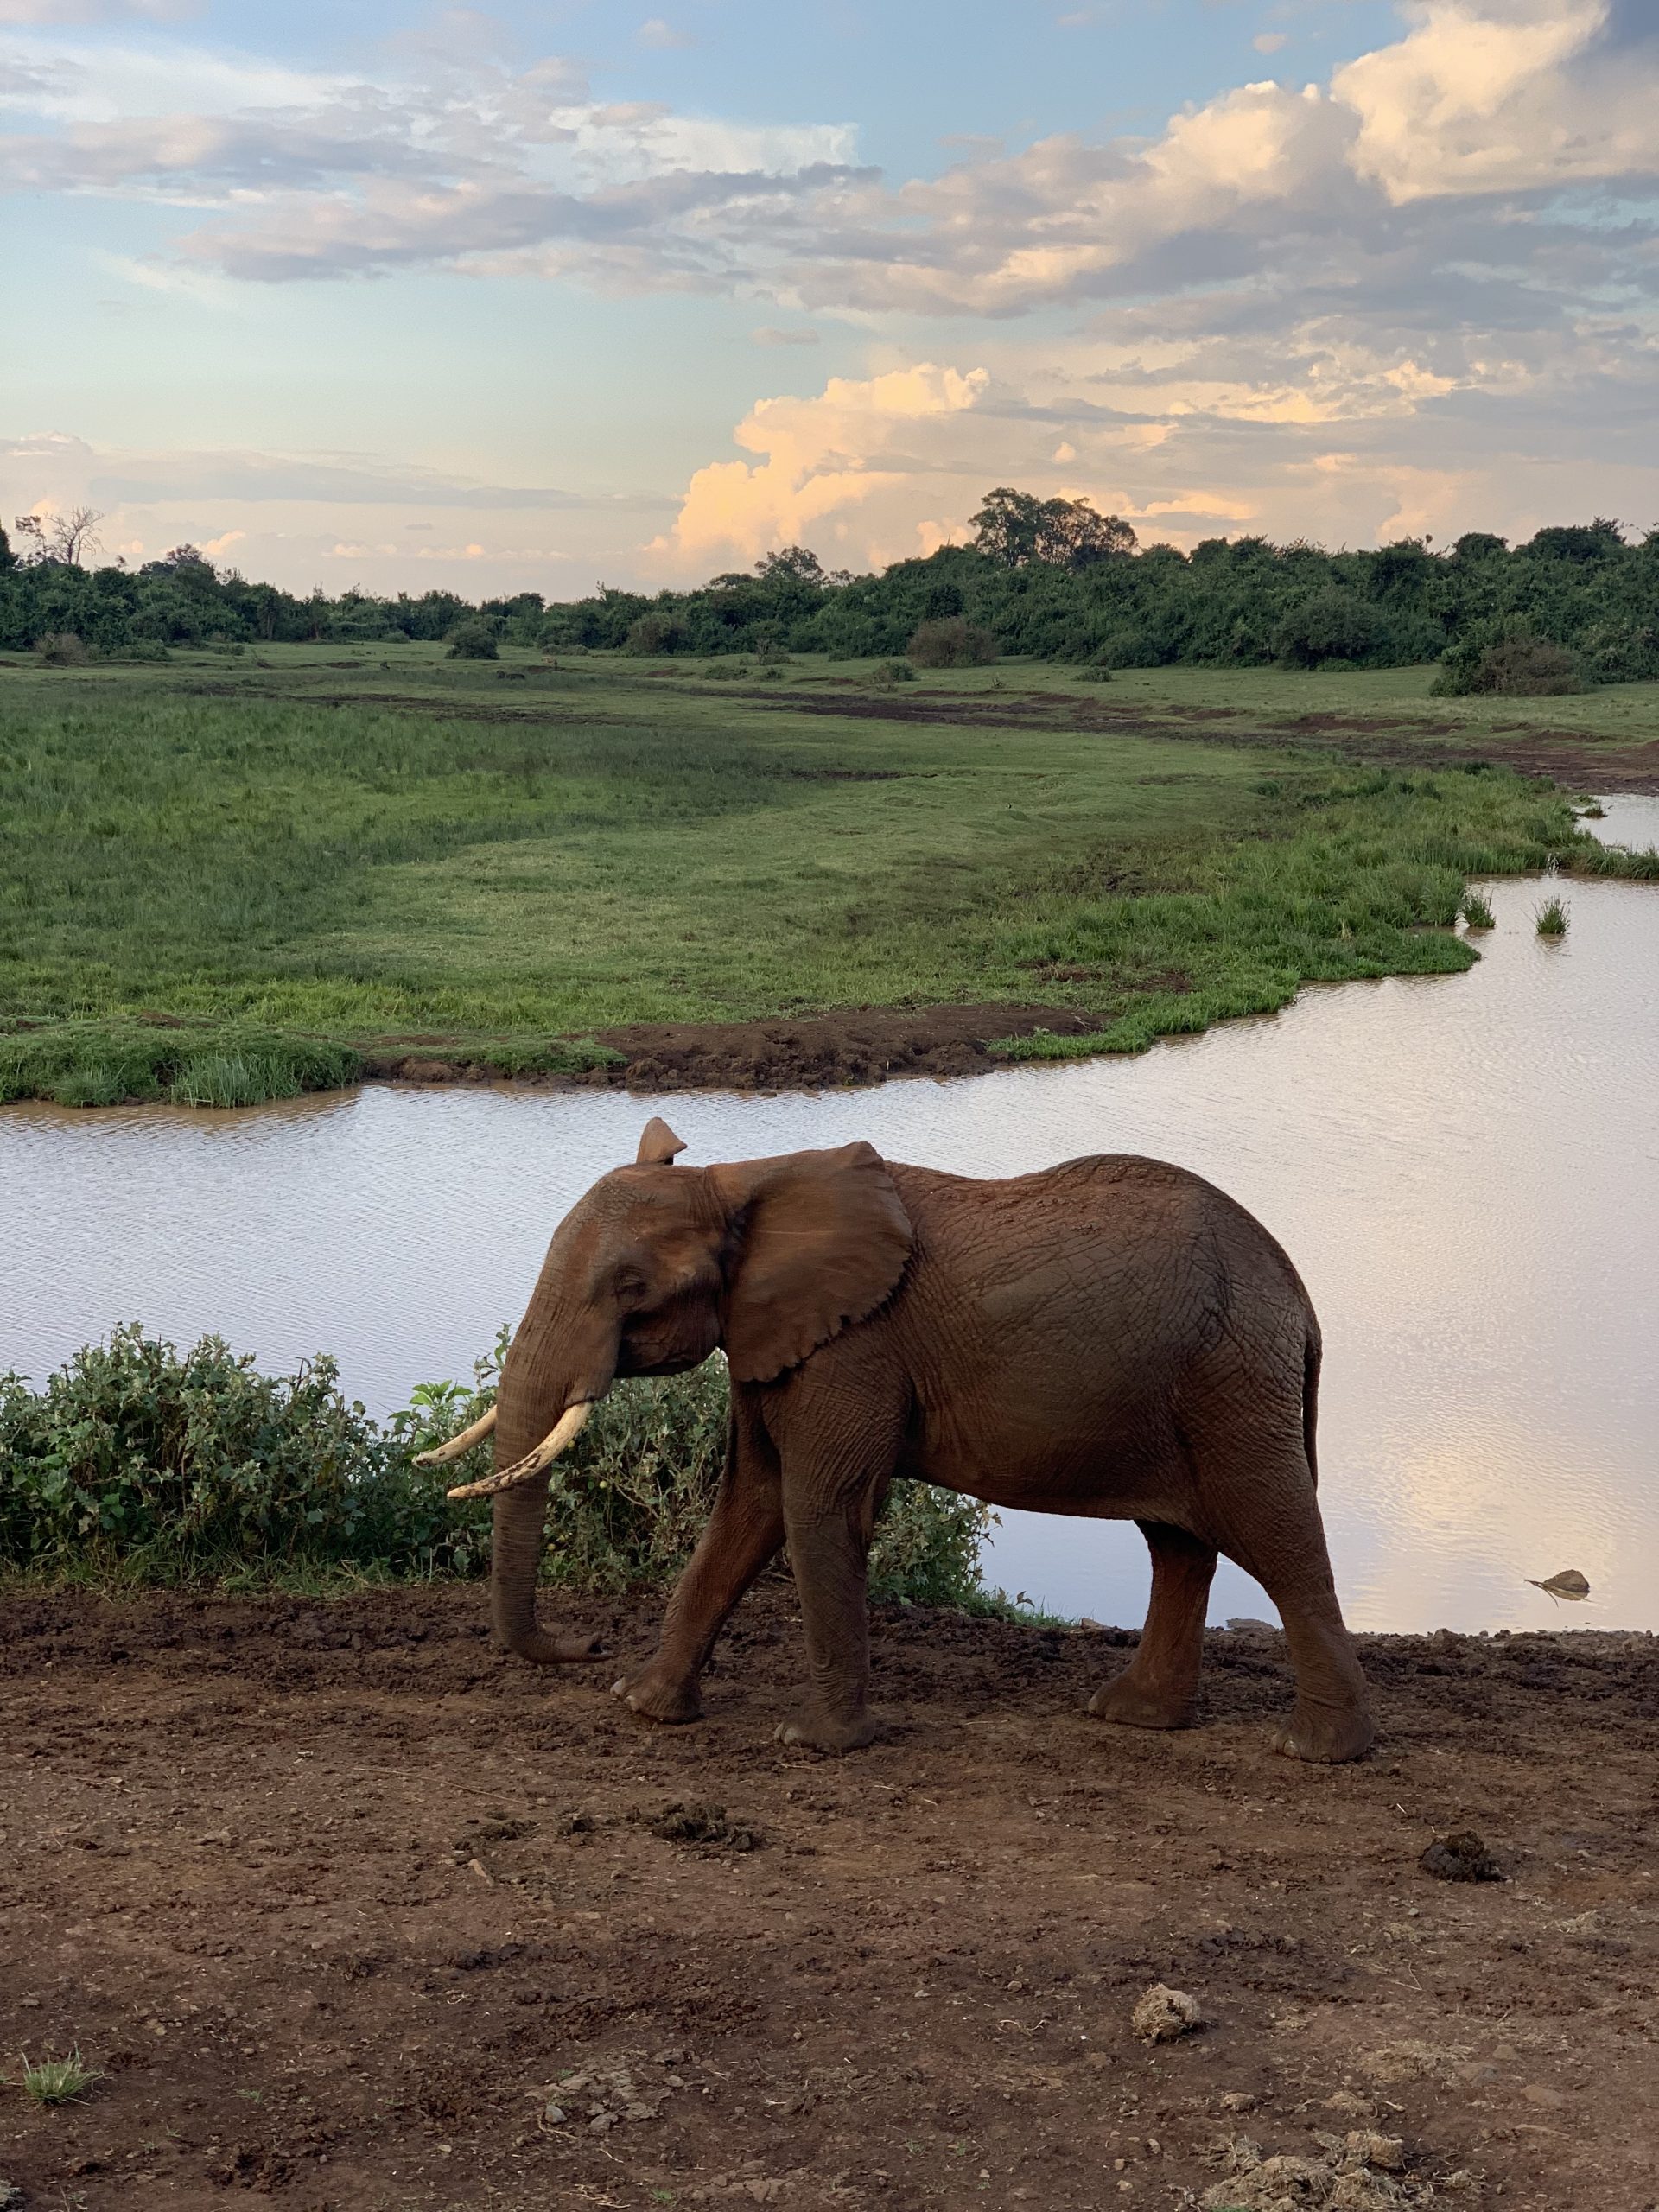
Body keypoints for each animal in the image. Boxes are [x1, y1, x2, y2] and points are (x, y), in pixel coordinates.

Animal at [419, 1117, 1374, 1763]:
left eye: (629, 1288)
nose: (586, 1646)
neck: (745, 1180)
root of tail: (1301, 1297)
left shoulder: (853, 1348)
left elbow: (815, 1505)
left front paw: (813, 1742)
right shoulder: (775, 1343)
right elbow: (747, 1507)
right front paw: (642, 1706)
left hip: (1232, 1380)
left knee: (1275, 1533)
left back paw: (1318, 1750)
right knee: (1177, 1543)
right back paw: (1131, 1716)